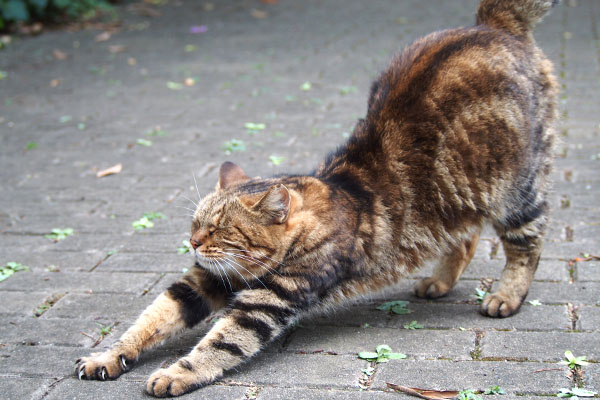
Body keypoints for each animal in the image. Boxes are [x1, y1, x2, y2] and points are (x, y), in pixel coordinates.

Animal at [76, 0, 556, 394]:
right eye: (195, 225)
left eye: (220, 231)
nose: (192, 243)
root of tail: (490, 24)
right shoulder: (204, 280)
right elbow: (151, 318)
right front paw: (108, 354)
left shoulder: (268, 299)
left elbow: (222, 342)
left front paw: (178, 372)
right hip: (456, 197)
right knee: (466, 235)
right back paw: (440, 280)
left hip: (517, 191)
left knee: (527, 245)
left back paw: (506, 296)